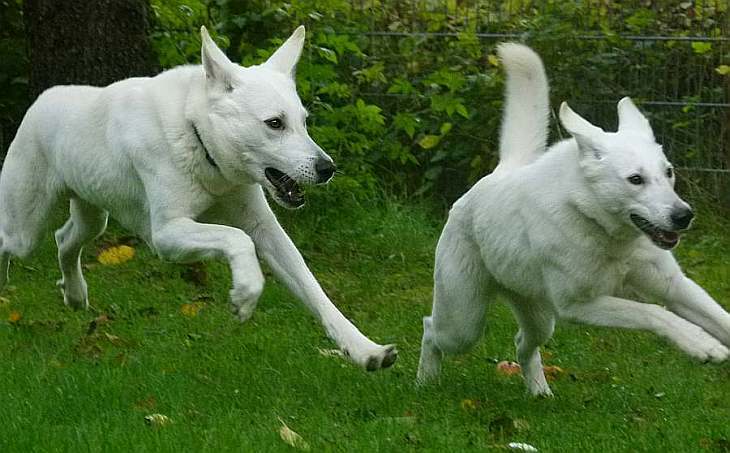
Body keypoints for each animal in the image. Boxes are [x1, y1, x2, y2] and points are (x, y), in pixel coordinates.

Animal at [0, 25, 396, 370]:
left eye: (304, 122)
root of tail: (41, 101)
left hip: (93, 218)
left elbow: (315, 292)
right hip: (24, 229)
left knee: (64, 239)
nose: (328, 168)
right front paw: (245, 295)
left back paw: (75, 294)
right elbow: (237, 240)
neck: (198, 137)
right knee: (16, 242)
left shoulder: (265, 229)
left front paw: (366, 351)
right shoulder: (166, 235)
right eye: (275, 123)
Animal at [416, 43, 728, 396]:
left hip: (539, 318)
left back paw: (539, 392)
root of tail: (499, 173)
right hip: (462, 323)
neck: (606, 234)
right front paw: (700, 343)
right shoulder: (578, 306)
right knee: (432, 330)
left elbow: (718, 317)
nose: (684, 216)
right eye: (635, 180)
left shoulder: (673, 286)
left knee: (523, 343)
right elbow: (653, 312)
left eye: (669, 172)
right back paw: (425, 381)